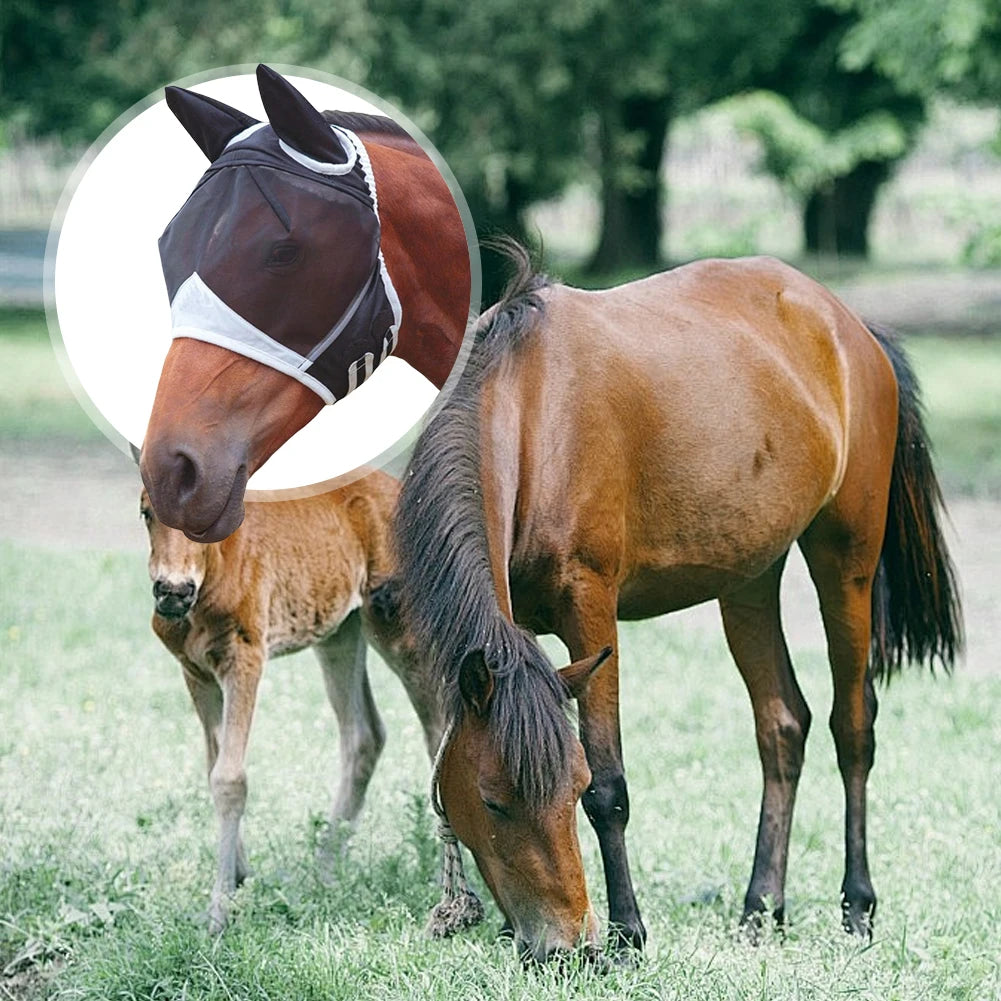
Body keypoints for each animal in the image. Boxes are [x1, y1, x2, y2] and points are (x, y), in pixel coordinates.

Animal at [142, 469, 443, 933]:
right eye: (146, 512)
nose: (172, 591)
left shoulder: (245, 656)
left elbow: (230, 778)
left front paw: (219, 910)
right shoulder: (196, 673)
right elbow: (213, 766)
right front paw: (239, 877)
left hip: (397, 626)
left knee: (437, 731)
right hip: (341, 632)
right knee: (365, 735)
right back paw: (325, 870)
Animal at [392, 246, 962, 963]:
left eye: (570, 788)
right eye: (492, 802)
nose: (561, 947)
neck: (530, 415)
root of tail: (851, 327)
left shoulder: (590, 609)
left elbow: (610, 785)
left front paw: (628, 934)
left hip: (845, 561)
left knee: (851, 726)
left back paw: (856, 907)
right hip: (748, 578)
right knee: (782, 725)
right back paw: (760, 908)